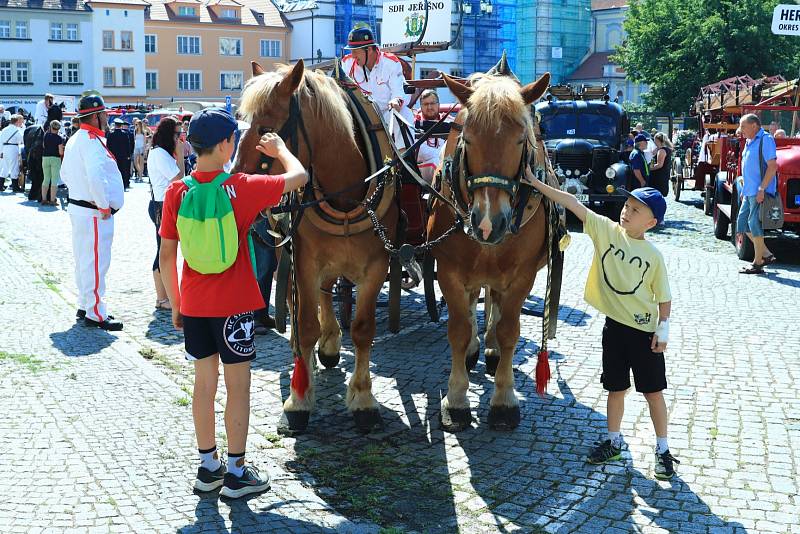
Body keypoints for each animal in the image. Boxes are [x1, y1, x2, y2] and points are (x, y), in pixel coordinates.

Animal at [233, 59, 398, 436]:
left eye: (266, 128)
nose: (234, 182)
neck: (346, 195)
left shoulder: (376, 266)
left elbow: (363, 330)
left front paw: (363, 399)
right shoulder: (306, 262)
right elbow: (306, 323)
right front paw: (298, 400)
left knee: (328, 292)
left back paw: (330, 344)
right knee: (303, 305)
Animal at [428, 72, 552, 432]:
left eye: (520, 140)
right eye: (467, 139)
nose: (487, 223)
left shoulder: (522, 276)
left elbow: (510, 331)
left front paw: (504, 399)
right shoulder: (450, 272)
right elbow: (457, 330)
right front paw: (456, 400)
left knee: (495, 305)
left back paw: (493, 351)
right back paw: (474, 350)